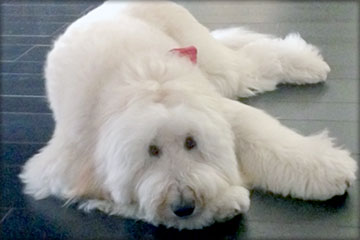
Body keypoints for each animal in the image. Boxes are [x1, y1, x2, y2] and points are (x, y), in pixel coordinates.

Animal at [20, 1, 358, 231]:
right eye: (151, 151)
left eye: (191, 143)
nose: (184, 205)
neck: (152, 85)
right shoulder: (62, 170)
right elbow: (127, 200)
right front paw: (223, 201)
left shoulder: (216, 109)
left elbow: (264, 136)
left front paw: (325, 168)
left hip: (213, 61)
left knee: (254, 60)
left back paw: (307, 63)